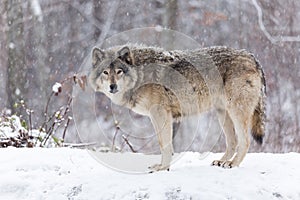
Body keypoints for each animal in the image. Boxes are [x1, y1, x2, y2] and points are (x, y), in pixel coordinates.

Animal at [88, 43, 266, 172]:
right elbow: (164, 143)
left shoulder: (160, 114)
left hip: (236, 112)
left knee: (245, 141)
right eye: (105, 72)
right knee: (233, 141)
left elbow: (164, 145)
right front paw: (163, 166)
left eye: (119, 71)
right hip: (222, 113)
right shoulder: (157, 116)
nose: (112, 86)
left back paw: (232, 164)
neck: (141, 75)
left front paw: (163, 168)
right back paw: (222, 161)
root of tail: (252, 57)